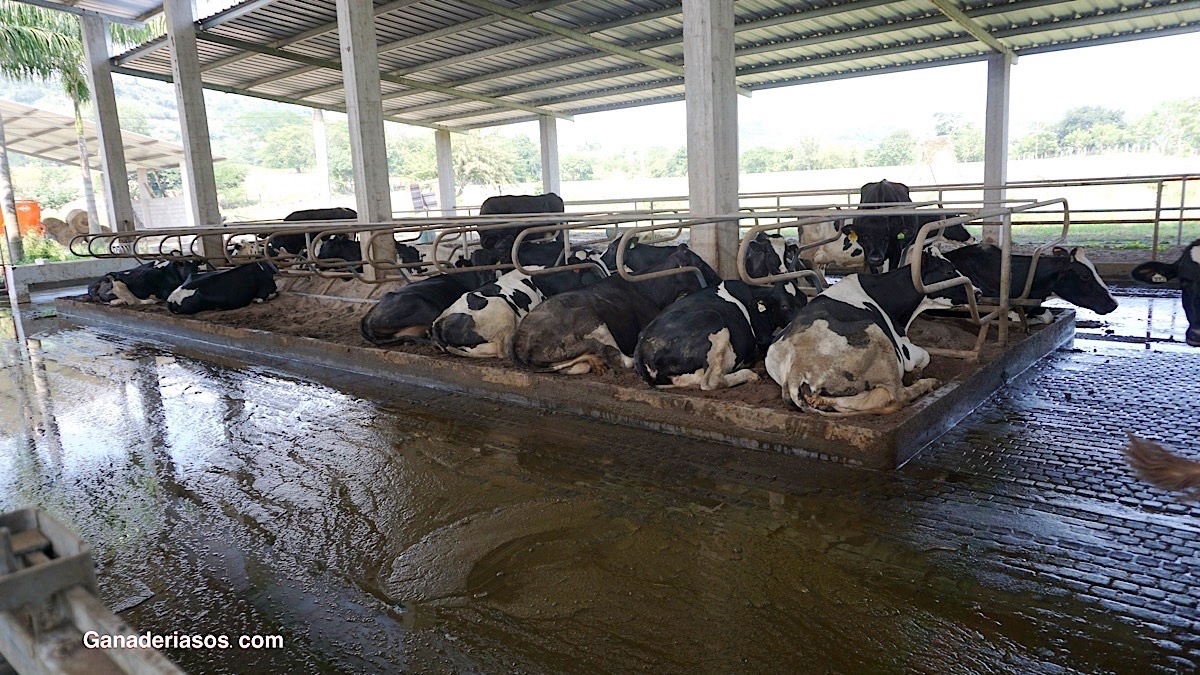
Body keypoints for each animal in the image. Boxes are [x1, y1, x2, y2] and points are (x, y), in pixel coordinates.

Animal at [511, 242, 715, 372]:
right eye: (699, 263)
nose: (719, 279)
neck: (649, 289)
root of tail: (520, 341)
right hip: (593, 322)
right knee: (622, 359)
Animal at [768, 249, 974, 413]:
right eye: (949, 270)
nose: (977, 291)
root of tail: (796, 372)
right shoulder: (904, 349)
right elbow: (925, 356)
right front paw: (916, 372)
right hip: (877, 336)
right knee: (899, 394)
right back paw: (927, 383)